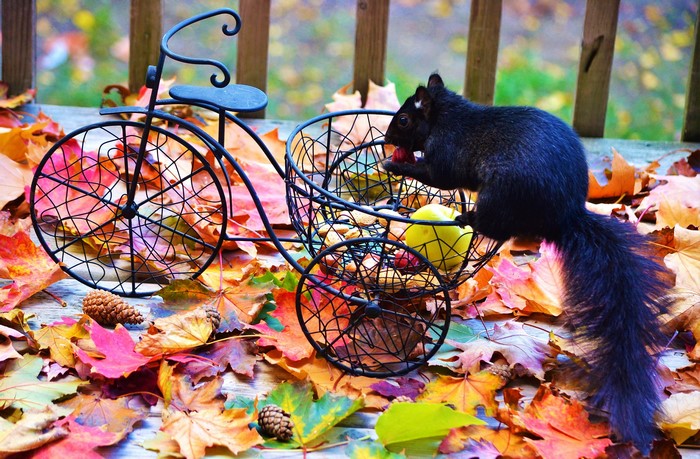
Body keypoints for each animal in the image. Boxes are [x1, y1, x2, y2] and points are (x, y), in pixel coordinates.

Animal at [382, 73, 672, 453]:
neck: (447, 118)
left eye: (403, 120)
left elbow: (437, 175)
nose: (387, 139)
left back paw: (468, 217)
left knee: (495, 226)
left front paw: (395, 164)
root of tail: (564, 216)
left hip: (502, 195)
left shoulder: (445, 154)